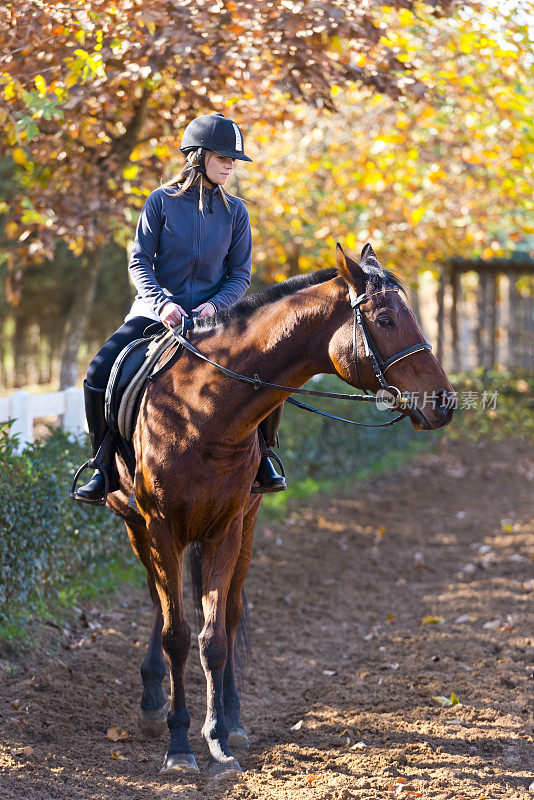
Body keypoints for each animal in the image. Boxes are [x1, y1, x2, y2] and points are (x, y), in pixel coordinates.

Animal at [108, 242, 456, 776]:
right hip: (137, 525)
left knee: (225, 617)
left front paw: (217, 738)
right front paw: (179, 745)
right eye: (385, 319)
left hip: (242, 528)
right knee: (161, 604)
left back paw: (230, 719)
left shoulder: (227, 526)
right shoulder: (159, 525)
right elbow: (176, 633)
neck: (200, 410)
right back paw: (153, 702)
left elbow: (213, 637)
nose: (444, 402)